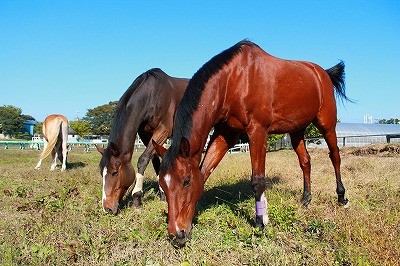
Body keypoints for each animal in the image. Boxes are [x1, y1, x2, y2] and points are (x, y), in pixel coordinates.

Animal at [97, 68, 190, 214]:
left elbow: (143, 159)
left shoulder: (164, 129)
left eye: (115, 172)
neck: (152, 94)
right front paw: (163, 194)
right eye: (102, 173)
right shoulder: (145, 133)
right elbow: (155, 160)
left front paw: (137, 198)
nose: (107, 208)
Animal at [153, 40, 350, 247]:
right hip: (296, 129)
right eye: (163, 184)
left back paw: (341, 197)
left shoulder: (257, 131)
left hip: (327, 124)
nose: (176, 235)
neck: (234, 80)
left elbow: (257, 180)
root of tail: (322, 73)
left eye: (186, 181)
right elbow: (204, 171)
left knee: (335, 156)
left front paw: (260, 222)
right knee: (305, 161)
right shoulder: (225, 134)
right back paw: (306, 199)